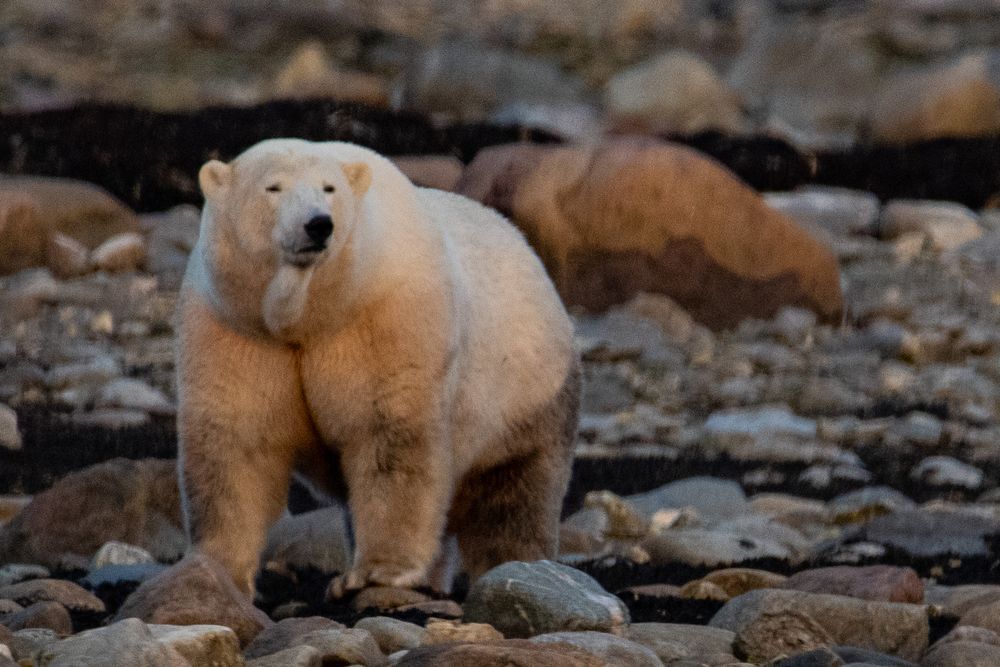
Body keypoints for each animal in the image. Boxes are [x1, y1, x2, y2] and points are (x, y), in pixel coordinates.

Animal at [177, 138, 580, 598]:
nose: (319, 225)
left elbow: (389, 435)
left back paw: (520, 567)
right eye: (273, 187)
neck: (309, 316)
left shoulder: (384, 316)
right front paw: (215, 570)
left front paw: (375, 572)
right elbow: (234, 441)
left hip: (527, 393)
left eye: (329, 188)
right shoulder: (236, 328)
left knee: (512, 497)